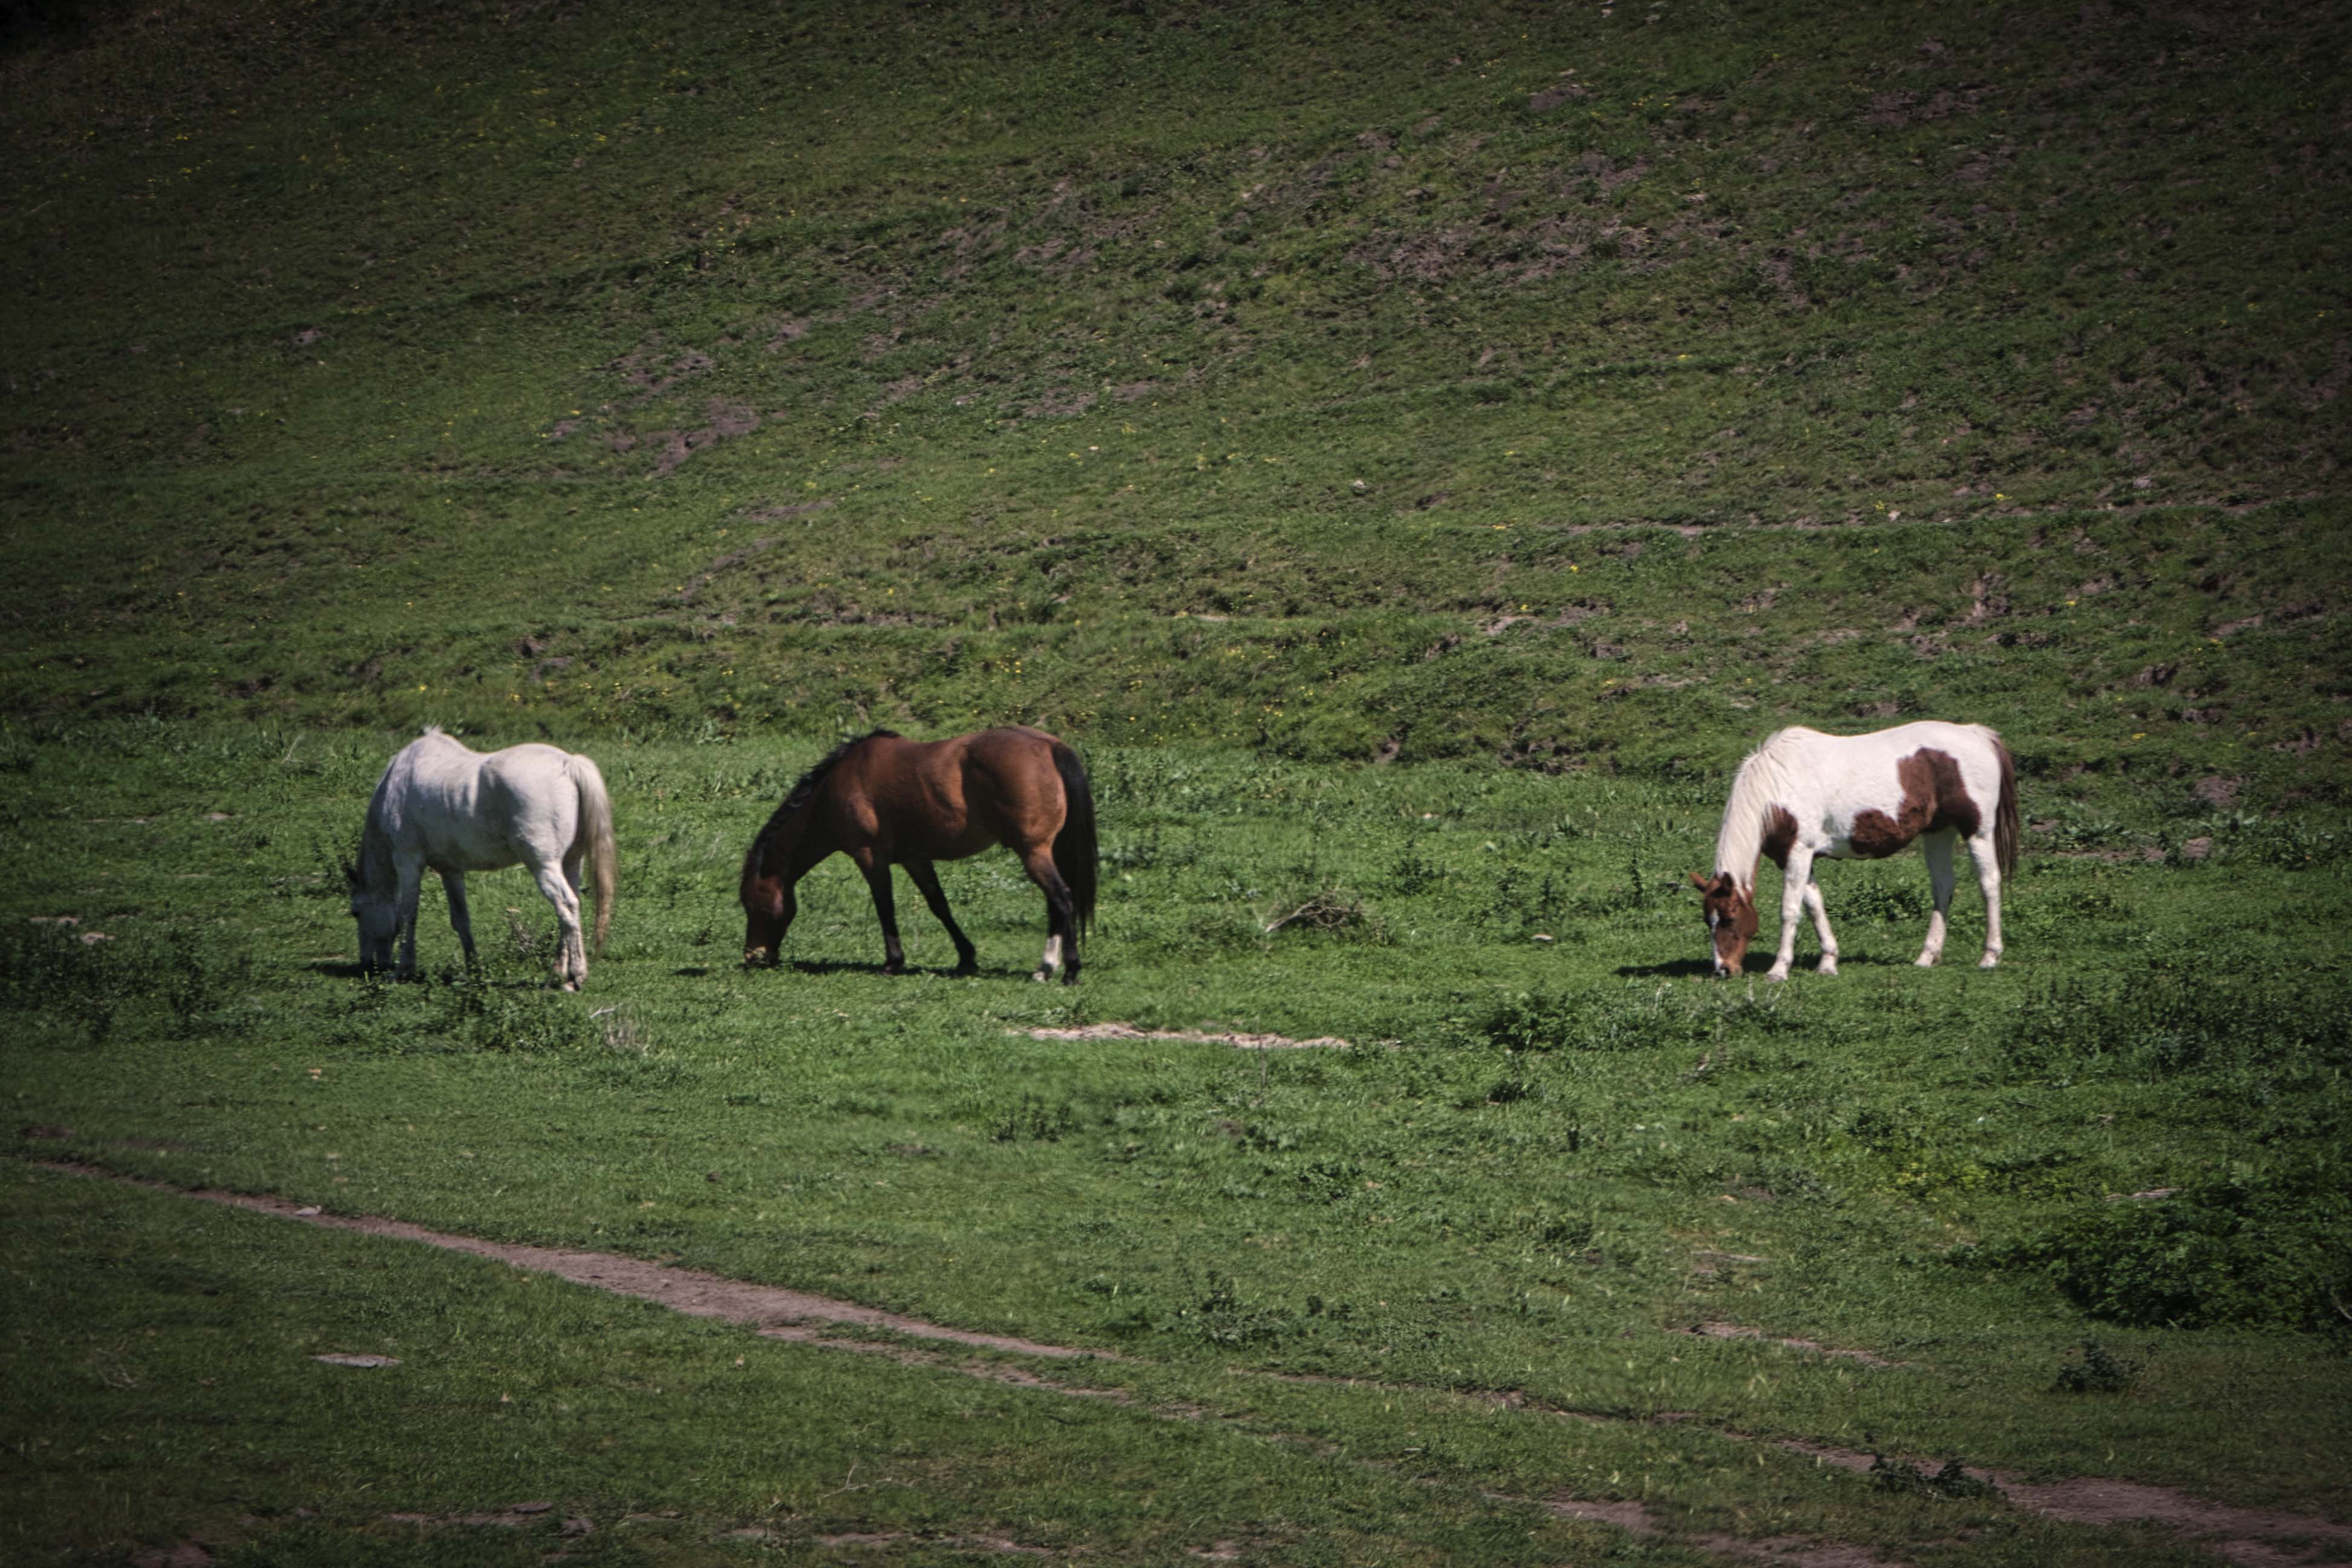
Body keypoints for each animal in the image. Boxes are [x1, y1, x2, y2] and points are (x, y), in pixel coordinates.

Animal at [345, 727, 617, 989]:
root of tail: (568, 764)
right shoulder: (450, 870)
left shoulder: (408, 861)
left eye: (356, 912)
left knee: (567, 906)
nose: (366, 964)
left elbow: (407, 915)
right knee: (569, 911)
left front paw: (403, 970)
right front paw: (473, 968)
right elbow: (460, 918)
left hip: (544, 866)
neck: (396, 782)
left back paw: (576, 976)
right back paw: (559, 974)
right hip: (570, 863)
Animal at [739, 726, 1097, 983]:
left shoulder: (870, 857)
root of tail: (1051, 747)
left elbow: (885, 907)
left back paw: (1069, 970)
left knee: (1062, 898)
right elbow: (939, 905)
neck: (834, 789)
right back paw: (1046, 967)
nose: (753, 957)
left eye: (752, 904)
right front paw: (966, 957)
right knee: (1055, 903)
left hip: (1033, 853)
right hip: (1044, 853)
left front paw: (893, 963)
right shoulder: (916, 859)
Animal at [1690, 721, 2018, 981]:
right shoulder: (1793, 858)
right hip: (1939, 832)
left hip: (1978, 832)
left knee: (1989, 884)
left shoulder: (1798, 852)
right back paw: (1927, 956)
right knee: (1943, 888)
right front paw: (1828, 962)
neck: (1779, 786)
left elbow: (1790, 911)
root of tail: (1977, 734)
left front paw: (1779, 970)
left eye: (1730, 918)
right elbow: (1815, 906)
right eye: (1708, 920)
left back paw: (1990, 956)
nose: (1724, 969)